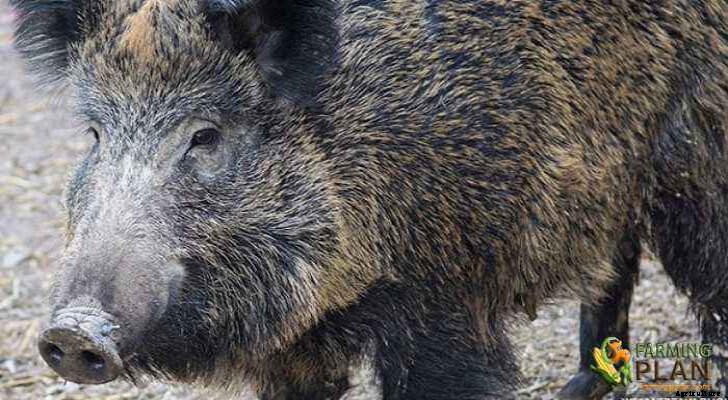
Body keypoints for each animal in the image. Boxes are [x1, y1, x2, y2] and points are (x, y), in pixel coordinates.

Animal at [10, 0, 728, 399]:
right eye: (94, 134)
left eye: (205, 135)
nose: (71, 332)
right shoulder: (293, 349)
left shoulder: (446, 296)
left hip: (699, 161)